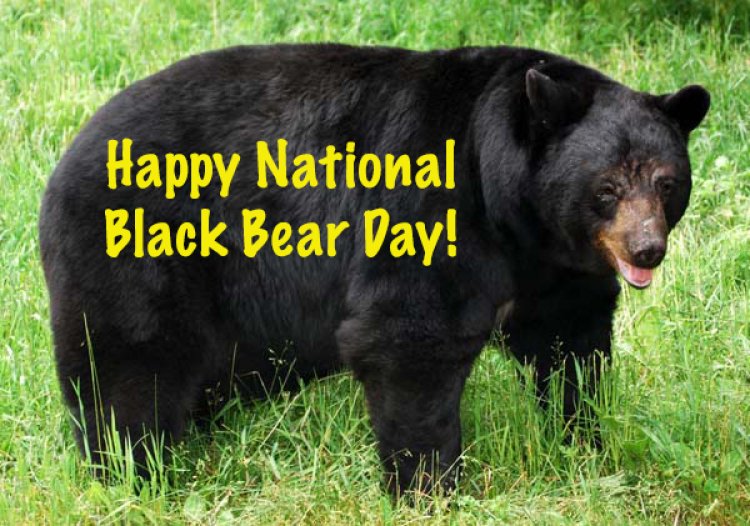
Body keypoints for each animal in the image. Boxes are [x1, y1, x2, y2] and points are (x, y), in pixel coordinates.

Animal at [39, 43, 710, 495]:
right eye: (607, 187)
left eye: (666, 182)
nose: (646, 250)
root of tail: (64, 161)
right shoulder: (430, 212)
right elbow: (408, 337)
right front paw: (431, 487)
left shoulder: (554, 268)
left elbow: (572, 345)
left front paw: (584, 444)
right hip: (143, 248)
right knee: (128, 366)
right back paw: (131, 471)